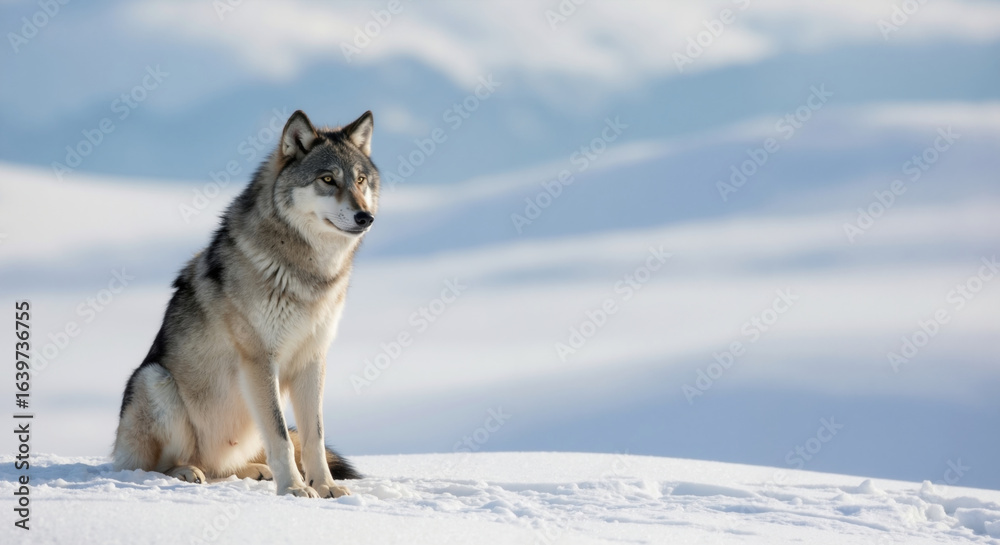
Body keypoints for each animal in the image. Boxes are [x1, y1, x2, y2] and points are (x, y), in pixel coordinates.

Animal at [113, 110, 379, 498]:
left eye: (360, 180)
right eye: (328, 179)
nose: (365, 217)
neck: (305, 272)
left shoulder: (312, 359)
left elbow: (313, 436)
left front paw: (325, 487)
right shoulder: (259, 359)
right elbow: (282, 436)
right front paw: (294, 489)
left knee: (225, 467)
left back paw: (256, 471)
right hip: (155, 381)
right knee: (154, 467)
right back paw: (186, 471)